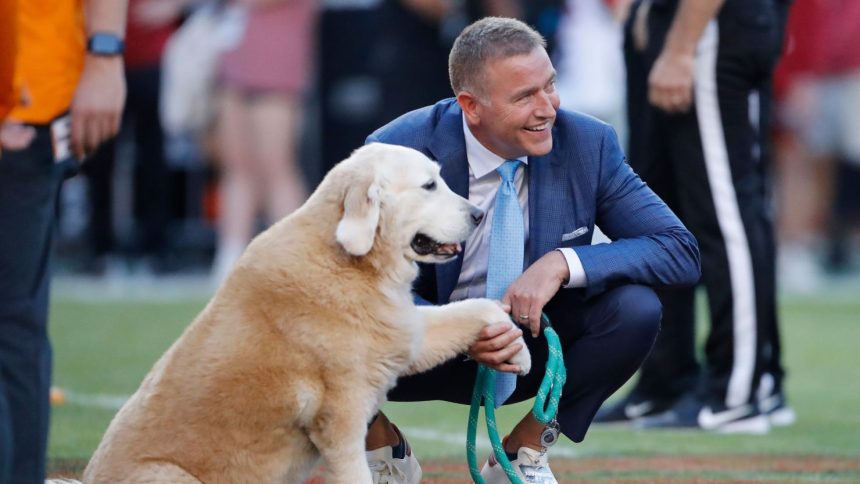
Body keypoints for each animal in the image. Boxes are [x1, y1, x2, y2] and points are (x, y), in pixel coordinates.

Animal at [84, 143, 536, 484]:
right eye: (429, 185)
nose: (478, 215)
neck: (348, 260)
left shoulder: (404, 333)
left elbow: (477, 307)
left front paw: (517, 350)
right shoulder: (341, 421)